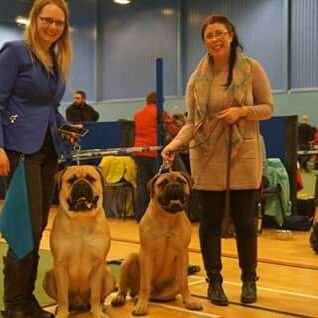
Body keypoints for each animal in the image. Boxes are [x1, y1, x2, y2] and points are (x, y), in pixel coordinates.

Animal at [43, 166, 115, 318]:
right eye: (71, 180)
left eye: (91, 179)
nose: (81, 183)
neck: (82, 219)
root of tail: (80, 303)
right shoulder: (61, 264)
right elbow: (63, 296)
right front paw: (62, 313)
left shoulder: (98, 264)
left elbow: (95, 294)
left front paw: (98, 313)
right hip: (49, 276)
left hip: (109, 276)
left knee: (99, 297)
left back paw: (101, 307)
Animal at [110, 171, 202, 316]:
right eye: (163, 183)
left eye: (180, 181)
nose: (174, 185)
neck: (168, 218)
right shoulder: (147, 254)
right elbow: (145, 285)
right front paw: (141, 305)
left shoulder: (183, 253)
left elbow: (184, 283)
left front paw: (190, 301)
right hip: (129, 259)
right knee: (127, 288)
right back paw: (121, 298)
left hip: (172, 286)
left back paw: (138, 298)